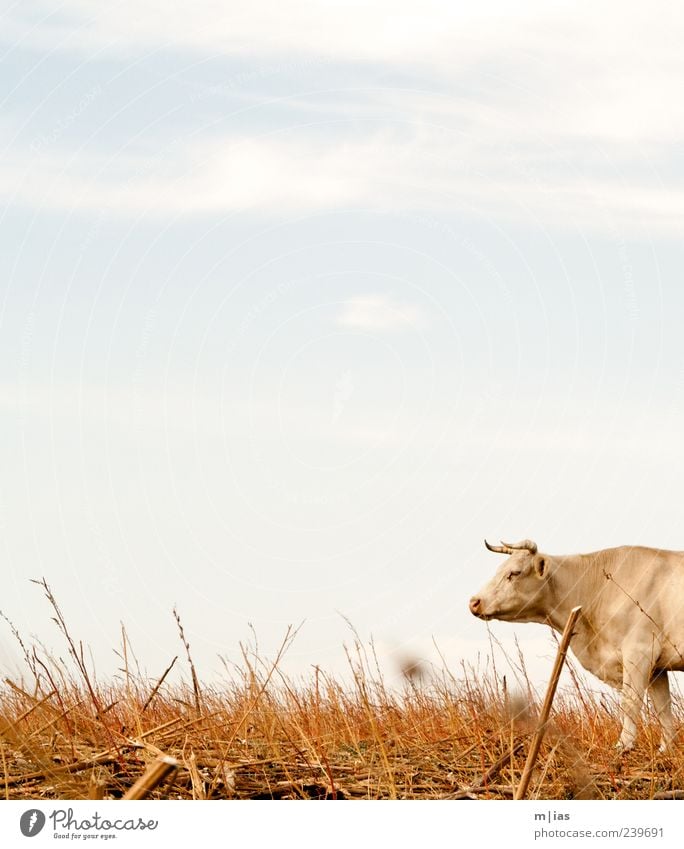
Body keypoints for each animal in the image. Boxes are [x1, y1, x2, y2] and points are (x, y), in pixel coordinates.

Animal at [468, 536, 684, 748]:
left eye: (514, 572)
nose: (474, 602)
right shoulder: (657, 667)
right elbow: (663, 708)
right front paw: (666, 748)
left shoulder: (639, 652)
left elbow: (630, 702)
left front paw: (624, 745)